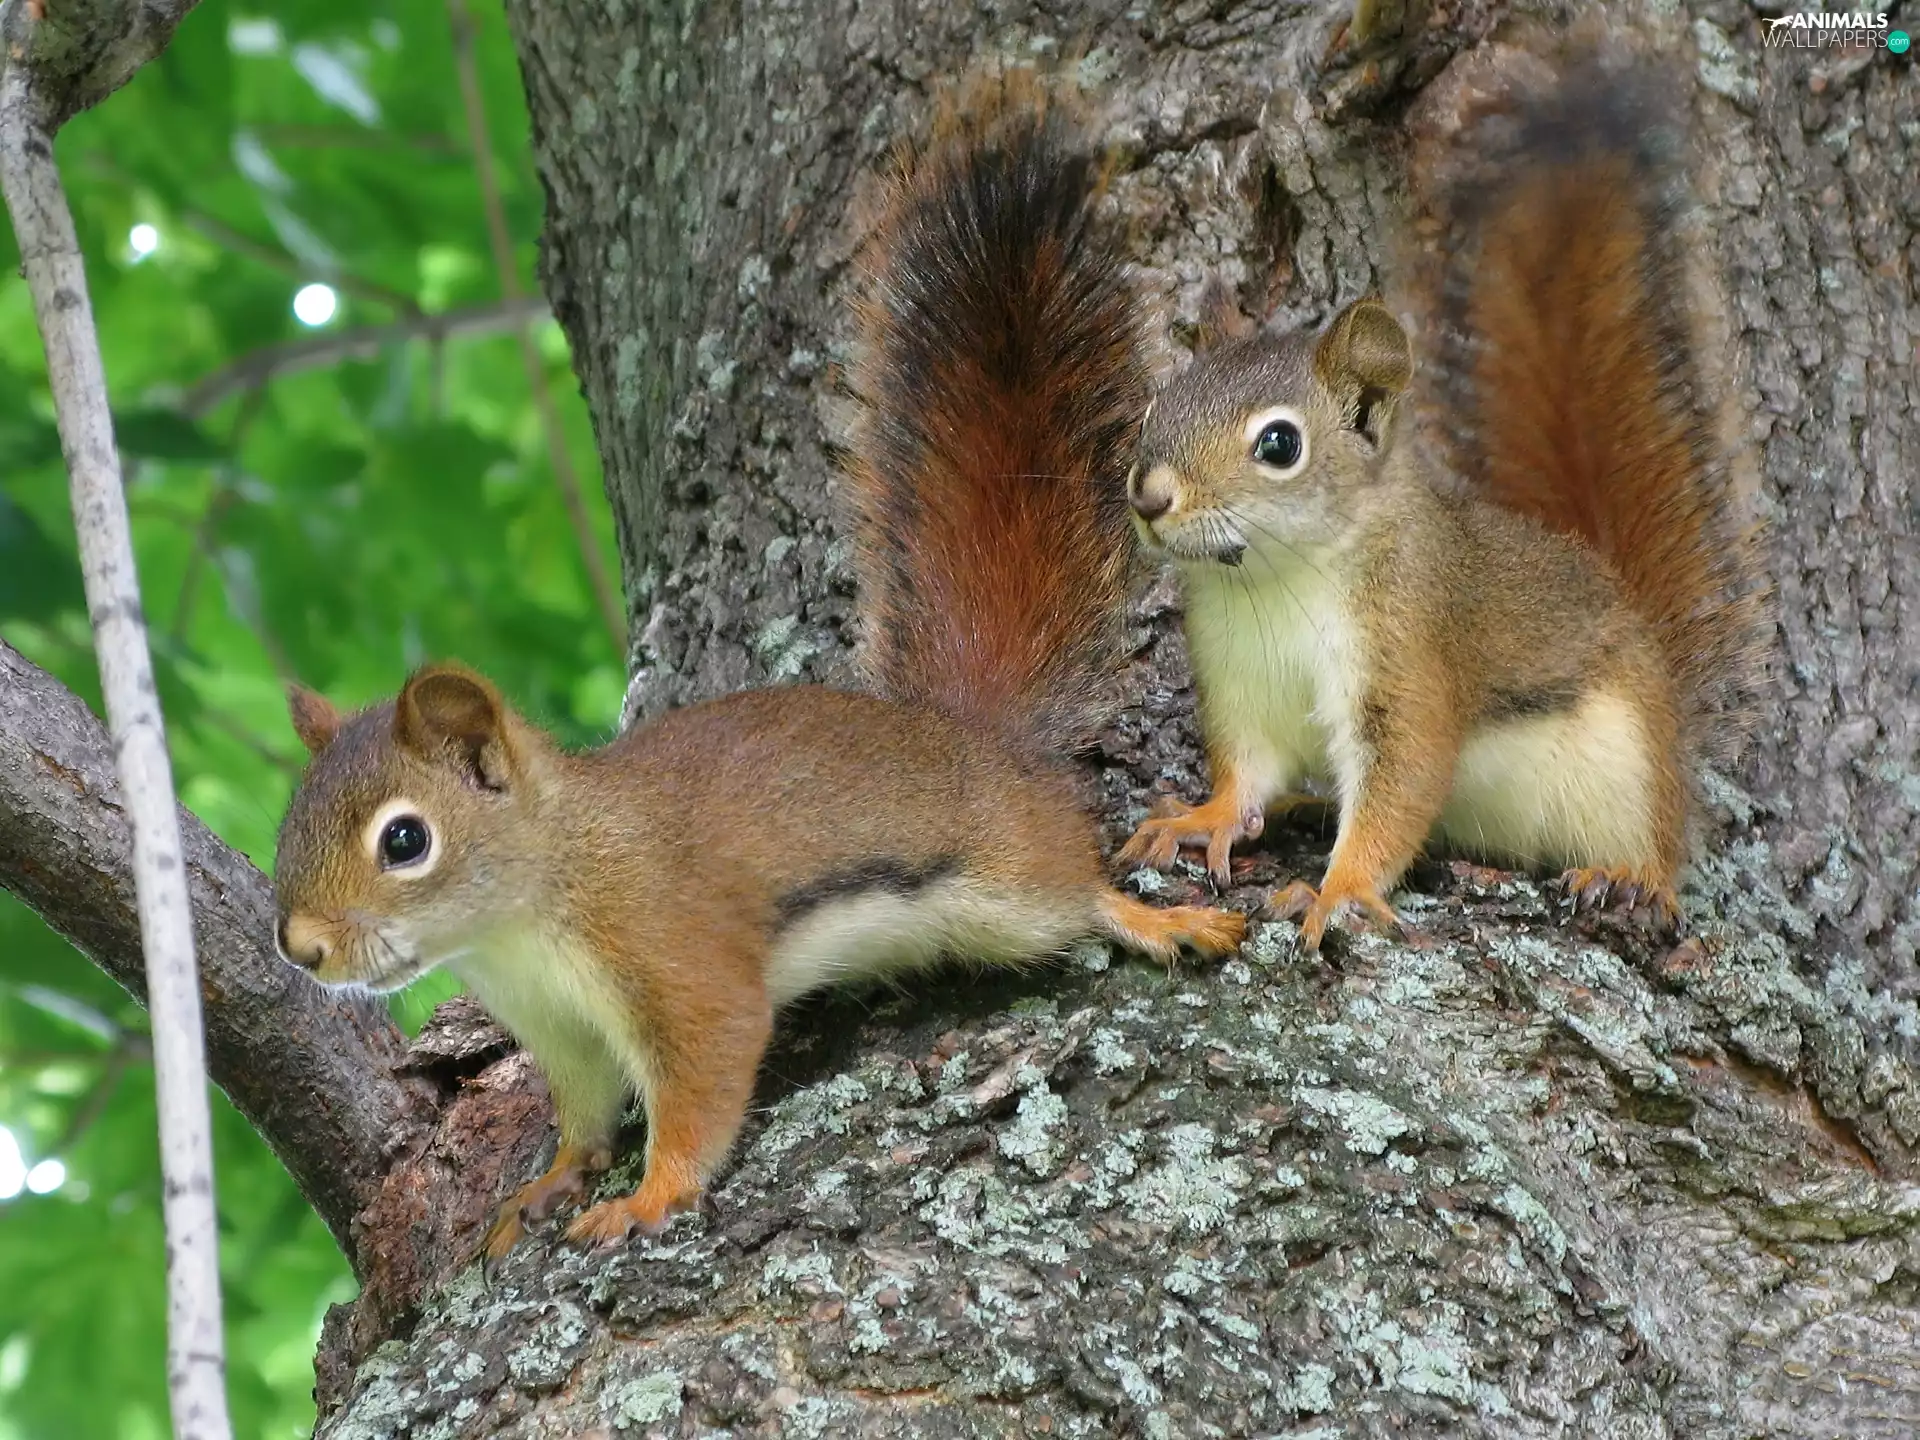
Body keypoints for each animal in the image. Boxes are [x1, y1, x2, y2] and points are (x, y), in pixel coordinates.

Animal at [270, 72, 1244, 1259]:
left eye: (404, 840)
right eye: (291, 819)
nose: (301, 950)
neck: (529, 909)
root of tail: (978, 737)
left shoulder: (674, 958)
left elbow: (700, 1082)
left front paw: (646, 1197)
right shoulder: (564, 1032)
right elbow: (585, 1114)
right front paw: (552, 1181)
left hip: (1007, 881)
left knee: (1076, 894)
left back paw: (1157, 918)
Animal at [1117, 52, 1766, 950]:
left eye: (1279, 445)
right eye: (1154, 408)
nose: (1148, 495)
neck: (1275, 583)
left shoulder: (1411, 653)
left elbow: (1404, 781)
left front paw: (1337, 891)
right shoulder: (1242, 681)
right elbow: (1244, 772)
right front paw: (1204, 818)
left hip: (1632, 765)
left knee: (1659, 848)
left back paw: (1630, 879)